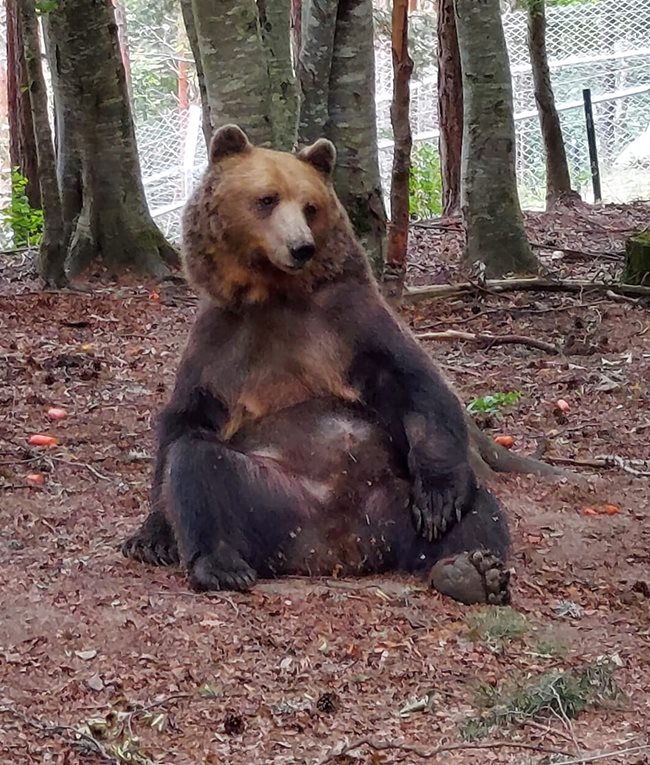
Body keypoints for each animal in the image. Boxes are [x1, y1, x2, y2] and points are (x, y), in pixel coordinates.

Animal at [119, 124, 508, 604]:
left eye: (311, 206)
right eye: (266, 199)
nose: (300, 247)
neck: (273, 295)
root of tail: (337, 547)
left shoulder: (348, 319)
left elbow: (417, 384)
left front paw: (438, 501)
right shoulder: (219, 340)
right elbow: (186, 421)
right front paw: (150, 536)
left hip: (389, 498)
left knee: (480, 509)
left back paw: (471, 570)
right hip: (272, 498)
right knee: (201, 465)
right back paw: (222, 566)